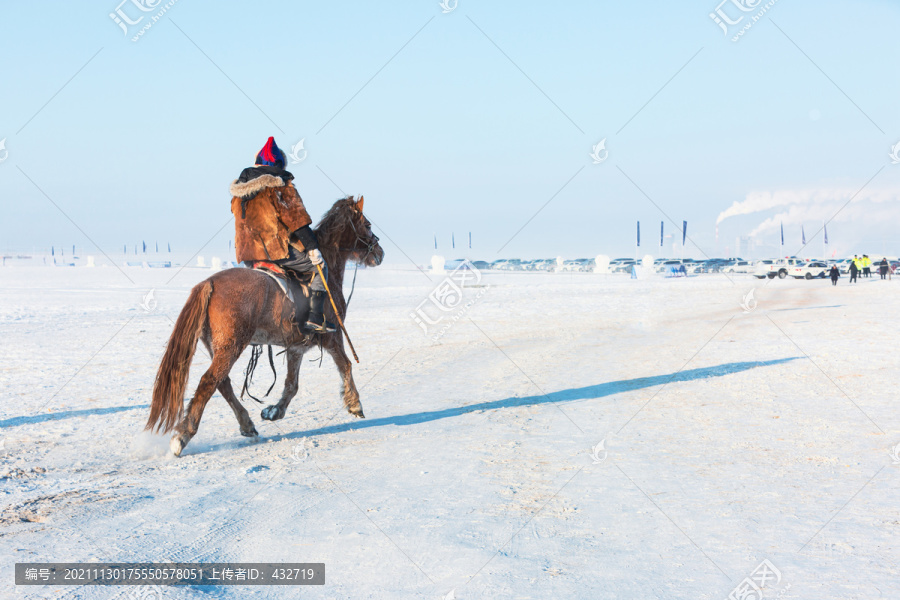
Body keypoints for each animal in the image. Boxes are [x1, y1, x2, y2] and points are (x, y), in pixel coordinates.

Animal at [147, 196, 384, 454]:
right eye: (368, 224)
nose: (379, 253)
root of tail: (209, 283)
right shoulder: (333, 335)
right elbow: (346, 365)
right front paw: (355, 403)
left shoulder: (296, 347)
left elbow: (291, 384)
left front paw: (274, 411)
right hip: (231, 345)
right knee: (209, 381)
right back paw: (183, 435)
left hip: (216, 346)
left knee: (223, 383)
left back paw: (246, 424)